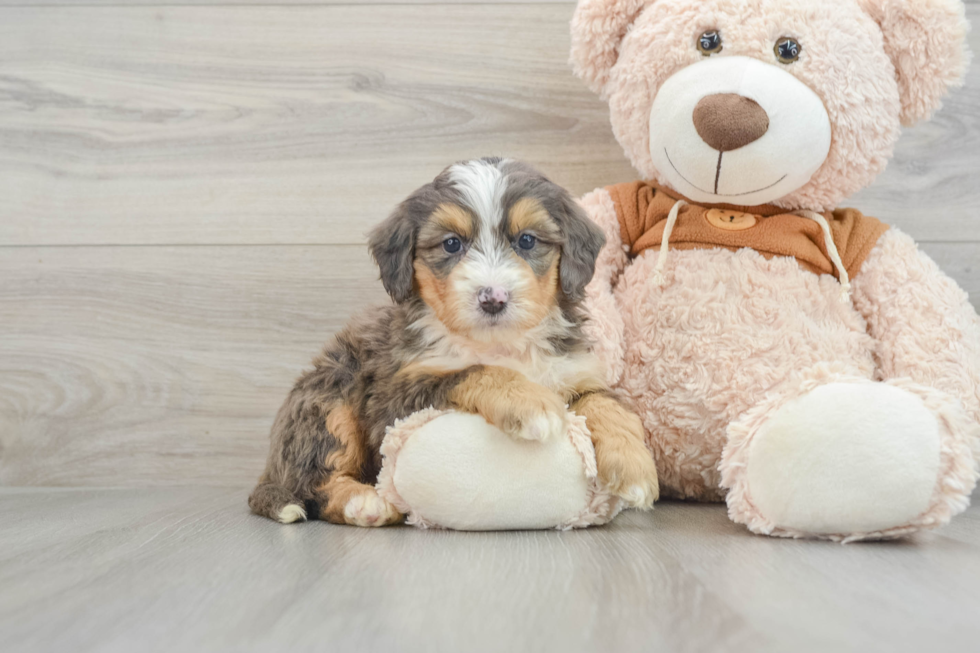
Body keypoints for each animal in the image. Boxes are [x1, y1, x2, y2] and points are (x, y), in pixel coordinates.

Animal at [247, 160, 660, 528]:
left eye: (527, 240)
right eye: (451, 244)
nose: (493, 298)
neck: (500, 343)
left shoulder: (575, 371)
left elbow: (609, 405)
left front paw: (634, 466)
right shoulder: (394, 397)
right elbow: (473, 371)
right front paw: (530, 402)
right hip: (330, 398)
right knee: (316, 485)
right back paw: (364, 503)